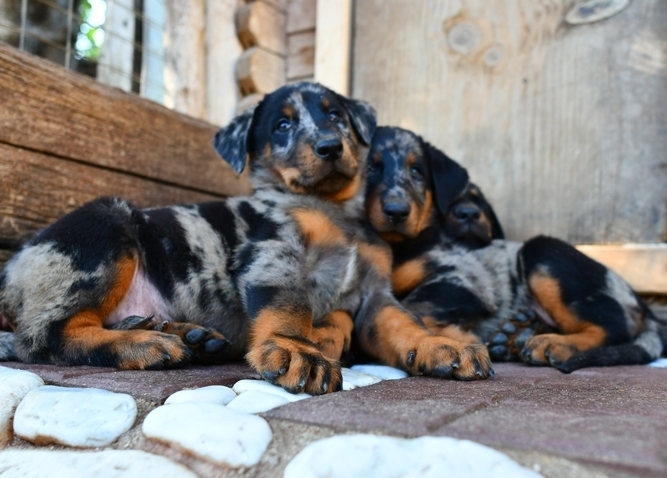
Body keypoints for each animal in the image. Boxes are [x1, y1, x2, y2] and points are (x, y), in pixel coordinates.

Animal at [1, 84, 496, 394]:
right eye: (282, 126)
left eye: (336, 115)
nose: (330, 147)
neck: (334, 211)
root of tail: (10, 272)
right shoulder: (274, 253)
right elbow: (289, 308)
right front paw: (297, 350)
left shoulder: (375, 294)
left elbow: (404, 323)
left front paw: (441, 346)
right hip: (104, 231)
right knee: (46, 338)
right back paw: (144, 343)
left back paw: (180, 333)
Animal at [368, 127, 664, 374]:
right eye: (370, 168)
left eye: (416, 171)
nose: (396, 210)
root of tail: (641, 305)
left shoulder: (460, 280)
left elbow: (411, 307)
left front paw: (459, 339)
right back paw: (515, 334)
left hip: (544, 252)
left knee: (614, 327)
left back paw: (552, 343)